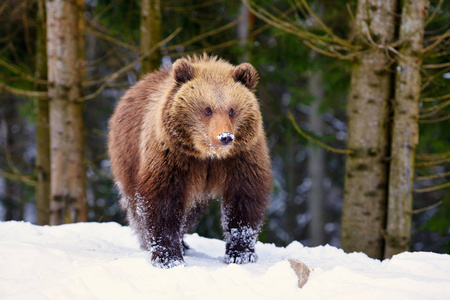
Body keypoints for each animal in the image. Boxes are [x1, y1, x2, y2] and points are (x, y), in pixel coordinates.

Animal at [107, 55, 272, 268]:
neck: (207, 156)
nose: (225, 137)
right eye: (207, 109)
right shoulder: (172, 158)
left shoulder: (240, 158)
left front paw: (241, 253)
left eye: (232, 110)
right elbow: (163, 203)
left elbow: (243, 200)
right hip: (129, 155)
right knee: (135, 205)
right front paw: (168, 257)